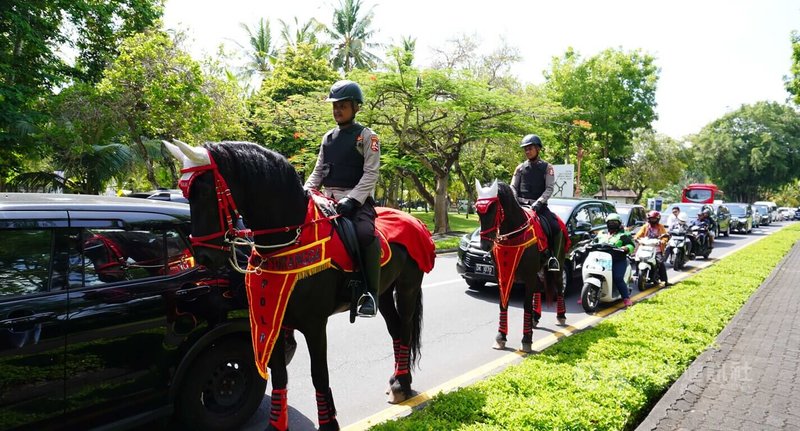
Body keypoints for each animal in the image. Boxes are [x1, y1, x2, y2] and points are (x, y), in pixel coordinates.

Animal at [165, 142, 428, 431]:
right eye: (184, 192)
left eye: (203, 191)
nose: (204, 257)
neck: (288, 240)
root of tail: (415, 221)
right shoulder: (274, 320)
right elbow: (279, 374)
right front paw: (276, 425)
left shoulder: (315, 325)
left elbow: (319, 375)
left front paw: (329, 424)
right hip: (383, 291)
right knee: (395, 330)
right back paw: (397, 380)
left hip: (407, 288)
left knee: (405, 329)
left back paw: (402, 384)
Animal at [476, 181, 568, 352]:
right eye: (477, 210)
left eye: (494, 209)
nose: (485, 245)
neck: (513, 234)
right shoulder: (502, 273)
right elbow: (503, 303)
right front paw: (501, 337)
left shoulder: (528, 275)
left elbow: (526, 305)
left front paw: (526, 339)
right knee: (539, 287)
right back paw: (535, 318)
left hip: (558, 264)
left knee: (559, 287)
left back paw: (561, 316)